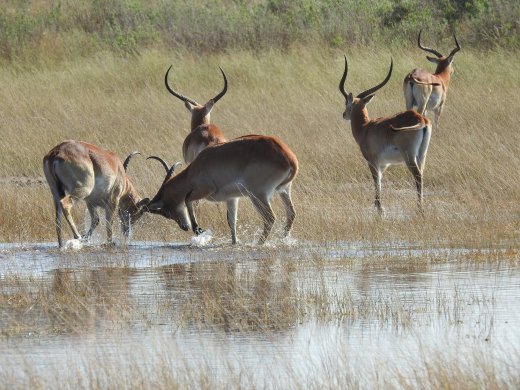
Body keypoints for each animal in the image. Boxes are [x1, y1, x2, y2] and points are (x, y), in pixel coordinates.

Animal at [147, 134, 300, 244]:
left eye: (166, 211)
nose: (184, 227)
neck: (193, 171)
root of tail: (289, 158)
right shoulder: (232, 198)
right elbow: (232, 222)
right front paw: (234, 243)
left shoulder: (204, 190)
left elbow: (187, 198)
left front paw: (198, 229)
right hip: (284, 191)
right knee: (291, 213)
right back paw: (282, 239)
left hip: (258, 195)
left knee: (270, 218)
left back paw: (258, 244)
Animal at [340, 56, 432, 213]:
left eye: (347, 103)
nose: (344, 114)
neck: (366, 128)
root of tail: (420, 119)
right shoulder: (384, 165)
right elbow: (380, 182)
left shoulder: (373, 162)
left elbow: (376, 182)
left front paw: (379, 207)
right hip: (422, 154)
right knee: (422, 173)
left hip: (409, 156)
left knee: (418, 175)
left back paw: (419, 209)